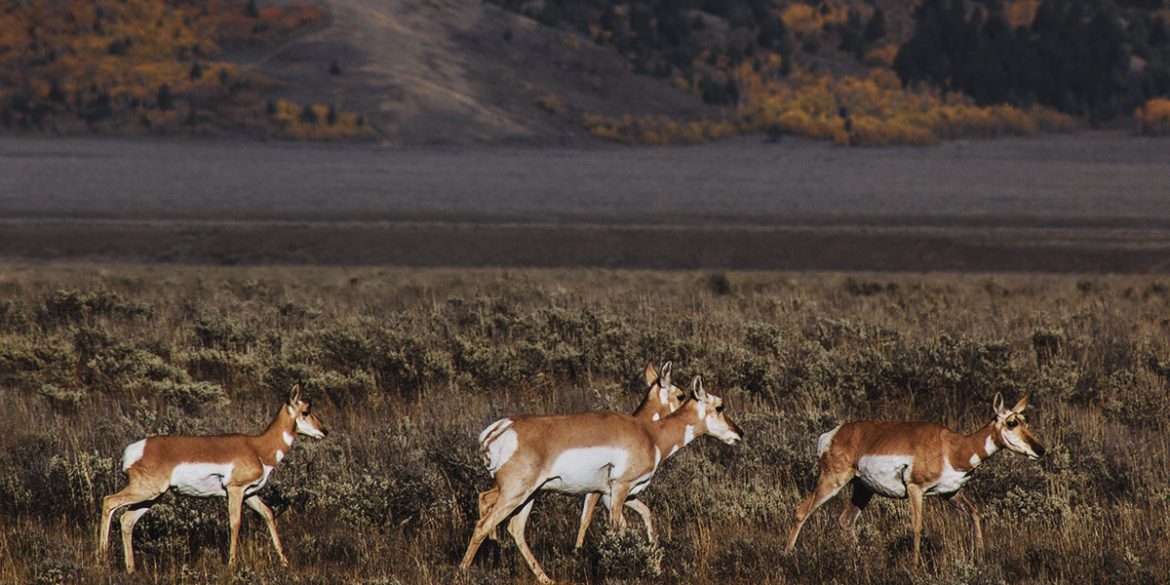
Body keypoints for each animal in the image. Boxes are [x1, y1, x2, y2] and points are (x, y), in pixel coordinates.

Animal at [94, 386, 325, 573]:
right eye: (306, 411)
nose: (325, 430)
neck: (258, 448)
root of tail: (135, 450)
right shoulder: (235, 490)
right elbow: (235, 523)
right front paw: (232, 565)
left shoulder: (249, 493)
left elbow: (268, 513)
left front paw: (284, 561)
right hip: (145, 491)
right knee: (109, 501)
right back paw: (102, 560)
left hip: (152, 497)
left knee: (126, 520)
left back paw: (131, 568)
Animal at [458, 374, 739, 585]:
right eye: (719, 407)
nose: (739, 434)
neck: (650, 434)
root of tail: (501, 428)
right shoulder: (619, 490)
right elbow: (616, 530)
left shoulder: (616, 494)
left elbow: (644, 516)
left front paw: (655, 567)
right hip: (515, 492)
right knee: (484, 524)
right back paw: (463, 572)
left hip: (528, 494)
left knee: (513, 527)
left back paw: (546, 578)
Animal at [786, 395, 1043, 563]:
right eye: (1011, 422)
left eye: (1026, 420)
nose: (1040, 450)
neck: (952, 447)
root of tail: (833, 433)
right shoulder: (915, 489)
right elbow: (918, 527)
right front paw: (916, 565)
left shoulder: (951, 493)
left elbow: (975, 513)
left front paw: (980, 556)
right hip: (833, 480)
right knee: (801, 511)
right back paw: (786, 555)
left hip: (863, 489)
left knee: (846, 520)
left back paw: (860, 558)